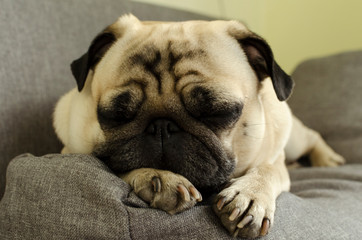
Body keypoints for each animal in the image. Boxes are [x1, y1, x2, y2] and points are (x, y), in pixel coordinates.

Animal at [52, 14, 344, 238]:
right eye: (116, 115)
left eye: (217, 112)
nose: (161, 126)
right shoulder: (71, 149)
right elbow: (116, 163)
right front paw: (158, 177)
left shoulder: (274, 158)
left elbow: (267, 171)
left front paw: (251, 197)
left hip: (292, 138)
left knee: (310, 137)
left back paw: (328, 159)